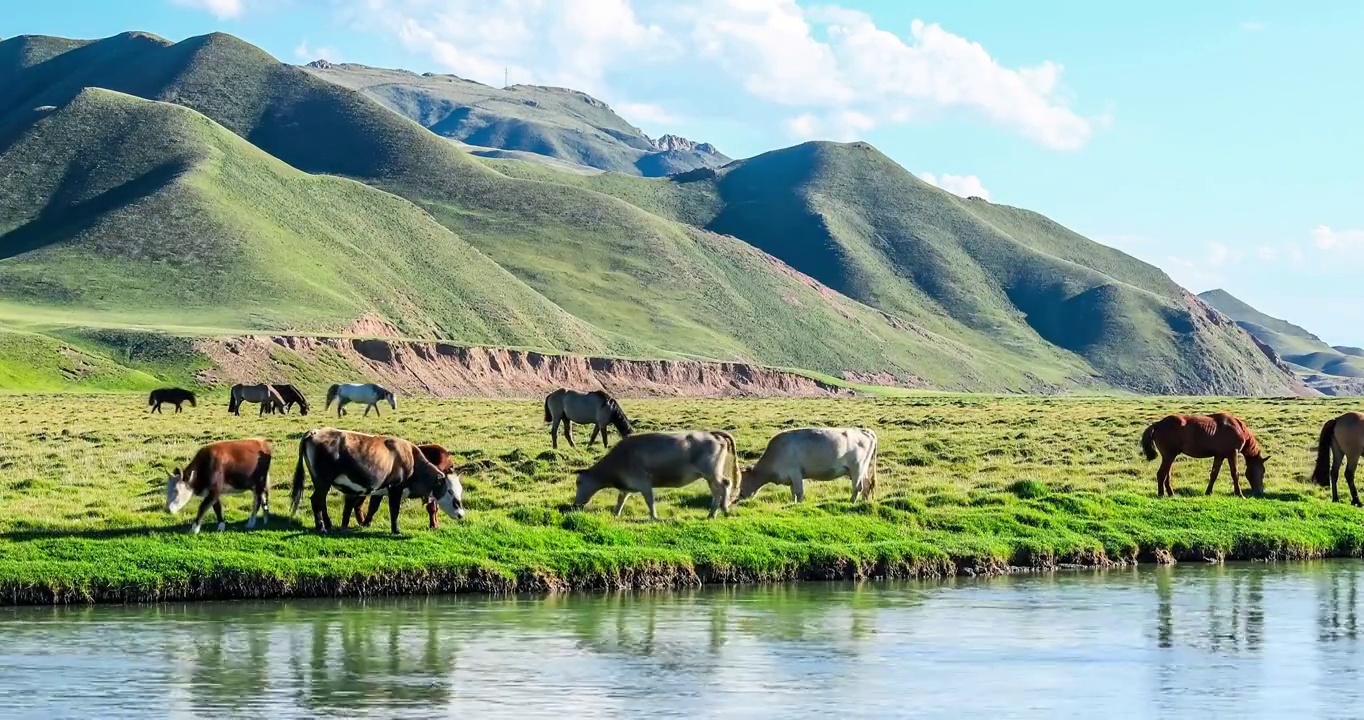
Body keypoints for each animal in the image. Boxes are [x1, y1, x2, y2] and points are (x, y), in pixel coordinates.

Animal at [287, 428, 463, 534]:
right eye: (450, 491)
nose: (461, 514)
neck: (411, 460)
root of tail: (314, 432)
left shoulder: (380, 490)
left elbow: (373, 507)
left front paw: (366, 523)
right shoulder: (395, 488)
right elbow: (394, 510)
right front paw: (396, 530)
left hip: (323, 483)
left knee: (321, 501)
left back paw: (328, 524)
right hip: (323, 481)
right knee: (316, 500)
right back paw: (321, 526)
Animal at [572, 430, 736, 520]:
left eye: (579, 483)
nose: (575, 505)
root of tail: (711, 434)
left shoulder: (644, 483)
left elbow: (649, 500)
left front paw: (654, 517)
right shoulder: (626, 486)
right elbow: (620, 500)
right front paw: (616, 514)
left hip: (712, 473)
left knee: (725, 484)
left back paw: (724, 508)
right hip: (709, 476)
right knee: (717, 490)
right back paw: (712, 513)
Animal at [742, 430, 878, 504]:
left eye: (742, 482)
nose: (740, 497)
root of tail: (865, 431)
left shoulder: (796, 473)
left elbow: (799, 491)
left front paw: (799, 505)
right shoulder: (791, 477)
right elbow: (793, 492)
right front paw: (792, 503)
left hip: (857, 469)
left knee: (858, 487)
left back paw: (851, 502)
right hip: (863, 470)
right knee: (866, 486)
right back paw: (864, 502)